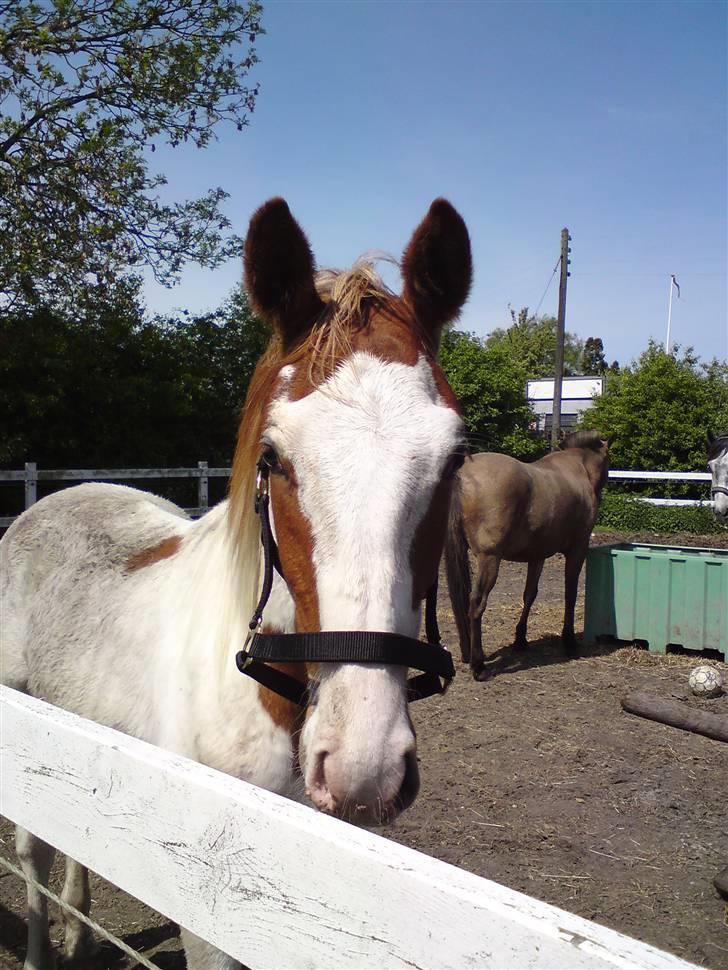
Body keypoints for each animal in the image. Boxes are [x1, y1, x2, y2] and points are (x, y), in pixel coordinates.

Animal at [0, 199, 472, 968]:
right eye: (273, 457)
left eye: (455, 458)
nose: (363, 764)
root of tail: (51, 502)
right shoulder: (210, 913)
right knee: (33, 854)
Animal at [444, 432, 608, 680]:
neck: (577, 469)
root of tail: (463, 473)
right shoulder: (578, 550)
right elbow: (570, 594)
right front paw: (569, 641)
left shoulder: (537, 556)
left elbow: (529, 594)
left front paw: (521, 639)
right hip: (489, 559)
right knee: (476, 602)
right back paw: (478, 664)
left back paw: (467, 654)